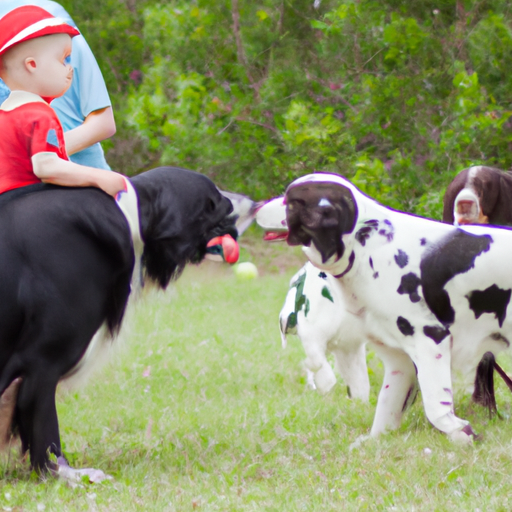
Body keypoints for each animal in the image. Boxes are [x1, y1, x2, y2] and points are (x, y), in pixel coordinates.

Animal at [0, 167, 238, 476]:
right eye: (214, 202)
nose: (237, 206)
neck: (130, 211)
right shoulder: (42, 361)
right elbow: (43, 427)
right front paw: (60, 473)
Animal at [280, 173, 512, 444]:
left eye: (298, 200)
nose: (279, 206)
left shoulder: (430, 341)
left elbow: (436, 406)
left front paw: (460, 431)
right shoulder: (397, 359)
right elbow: (386, 407)